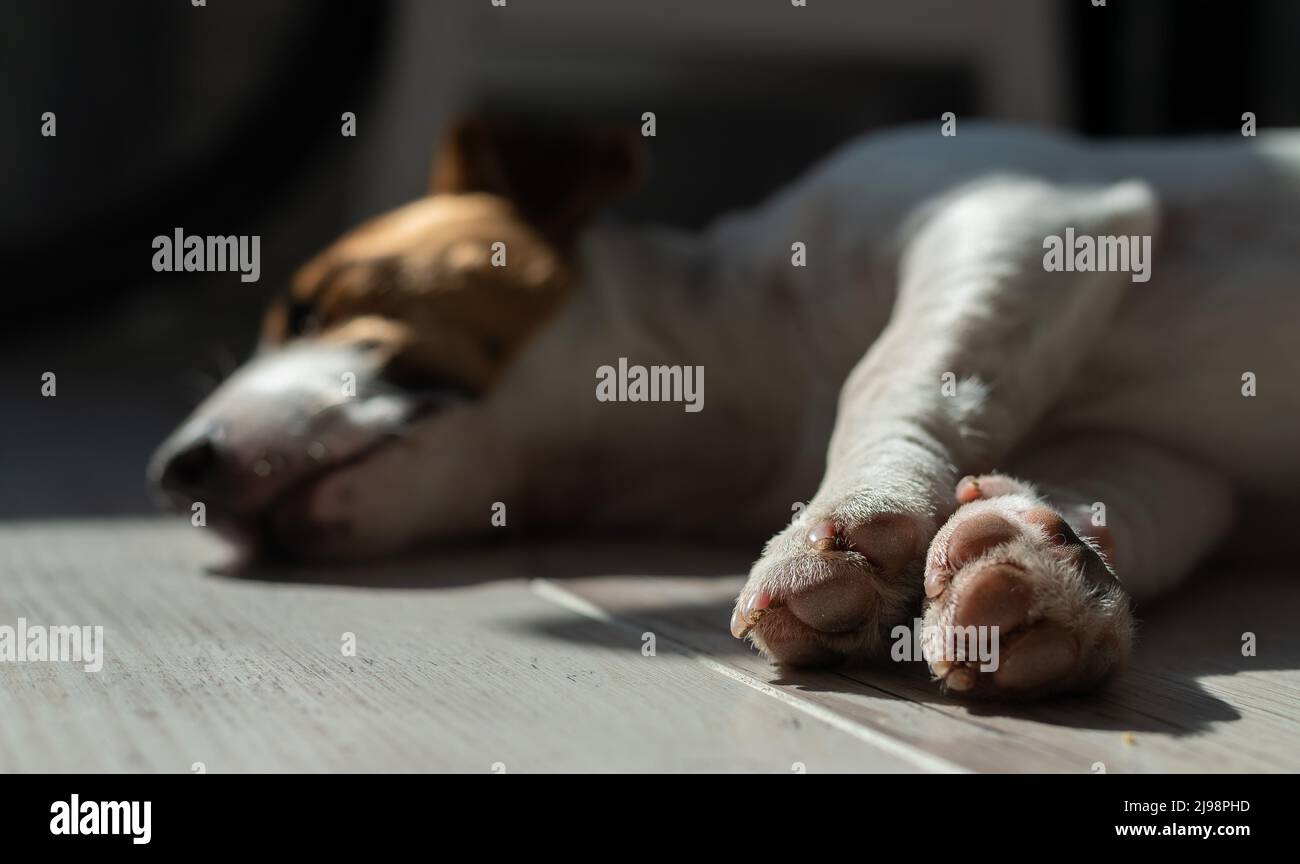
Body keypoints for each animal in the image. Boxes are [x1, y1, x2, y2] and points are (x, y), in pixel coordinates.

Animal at [149, 119, 1300, 701]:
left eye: (315, 305)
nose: (171, 472)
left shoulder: (1021, 211)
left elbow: (890, 370)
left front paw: (844, 519)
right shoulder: (1165, 462)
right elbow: (1111, 504)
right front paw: (1043, 569)